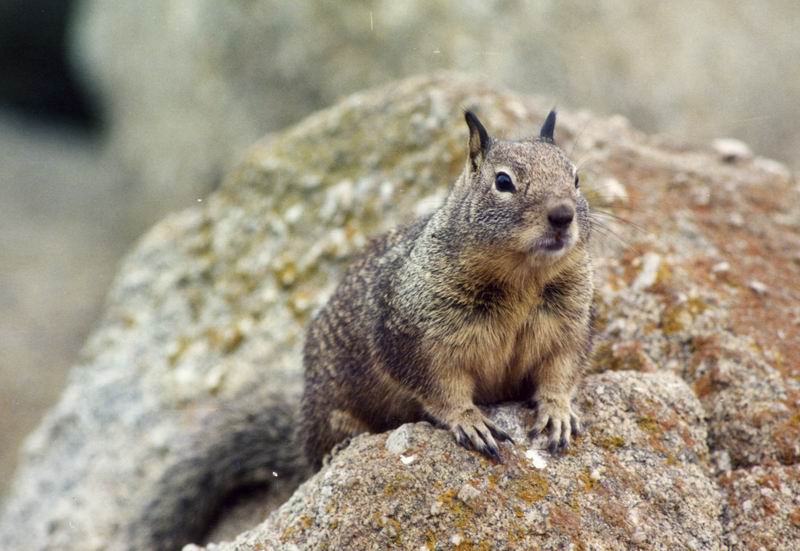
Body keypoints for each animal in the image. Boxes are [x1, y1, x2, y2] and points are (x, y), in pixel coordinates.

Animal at [128, 108, 592, 548]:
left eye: (576, 178)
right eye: (503, 181)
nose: (562, 215)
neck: (521, 282)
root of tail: (301, 430)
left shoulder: (569, 328)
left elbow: (560, 372)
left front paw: (557, 412)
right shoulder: (415, 339)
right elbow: (441, 387)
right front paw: (470, 421)